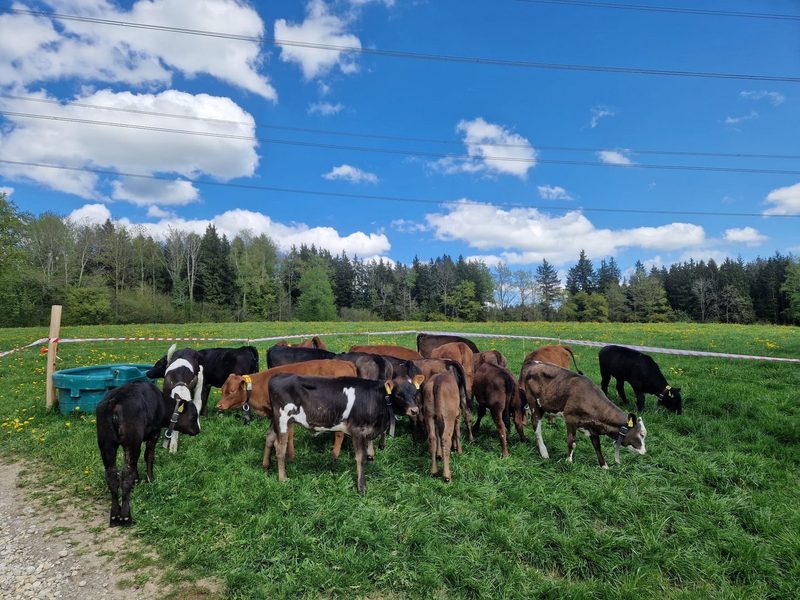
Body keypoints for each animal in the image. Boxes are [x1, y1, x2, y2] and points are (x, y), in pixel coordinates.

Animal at [96, 381, 200, 527]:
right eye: (194, 416)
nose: (198, 430)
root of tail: (114, 401)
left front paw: (137, 480)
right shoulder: (154, 433)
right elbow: (149, 456)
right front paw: (150, 480)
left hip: (107, 444)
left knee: (112, 475)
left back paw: (115, 515)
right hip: (132, 440)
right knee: (126, 474)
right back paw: (125, 516)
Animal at [217, 359, 358, 461]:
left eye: (232, 391)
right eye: (222, 389)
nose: (219, 405)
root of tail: (345, 362)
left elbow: (287, 435)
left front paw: (289, 457)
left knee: (339, 433)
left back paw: (334, 455)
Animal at [264, 373, 425, 493]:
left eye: (415, 392)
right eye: (399, 394)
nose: (414, 410)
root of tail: (277, 376)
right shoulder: (358, 430)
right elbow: (361, 458)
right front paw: (361, 487)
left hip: (275, 420)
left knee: (269, 437)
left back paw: (265, 465)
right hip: (283, 419)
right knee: (280, 448)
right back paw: (282, 478)